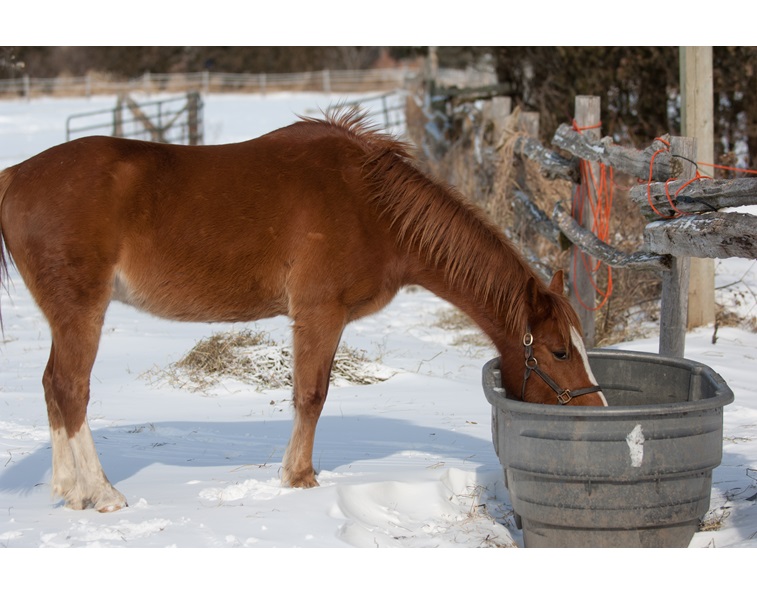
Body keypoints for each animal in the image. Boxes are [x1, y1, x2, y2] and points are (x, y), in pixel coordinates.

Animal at [0, 110, 604, 512]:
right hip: (82, 311)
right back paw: (101, 494)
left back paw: (68, 490)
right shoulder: (319, 313)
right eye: (558, 351)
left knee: (53, 386)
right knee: (70, 388)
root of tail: (15, 175)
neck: (370, 205)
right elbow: (311, 395)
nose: (594, 410)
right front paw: (300, 479)